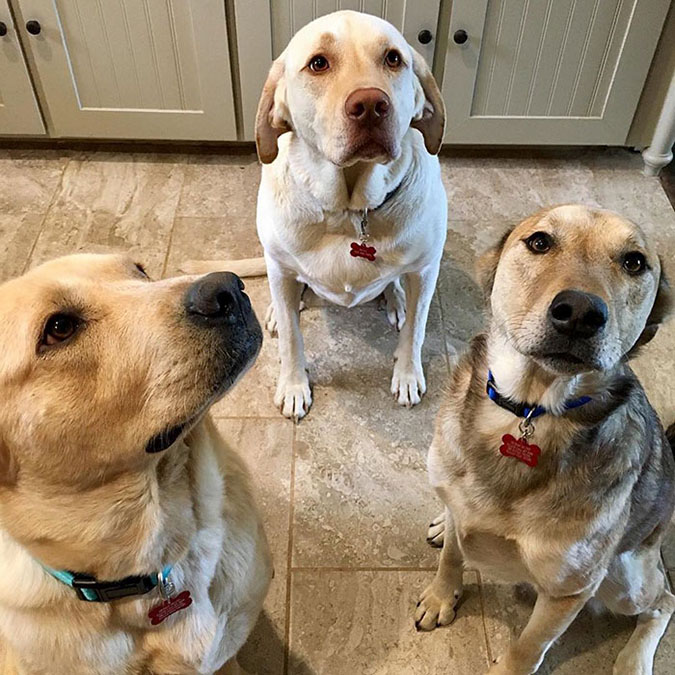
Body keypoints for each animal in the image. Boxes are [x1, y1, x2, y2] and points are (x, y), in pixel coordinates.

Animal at [186, 10, 448, 420]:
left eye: (393, 58)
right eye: (318, 63)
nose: (371, 105)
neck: (348, 211)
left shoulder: (426, 270)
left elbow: (416, 332)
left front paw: (407, 374)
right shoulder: (281, 268)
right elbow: (292, 340)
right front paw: (294, 385)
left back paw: (394, 299)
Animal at [420, 206, 675, 675]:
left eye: (634, 262)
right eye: (539, 242)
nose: (579, 312)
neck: (530, 409)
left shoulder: (567, 592)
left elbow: (529, 647)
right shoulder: (459, 505)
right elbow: (451, 556)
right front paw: (441, 596)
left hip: (623, 582)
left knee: (664, 600)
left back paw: (633, 660)